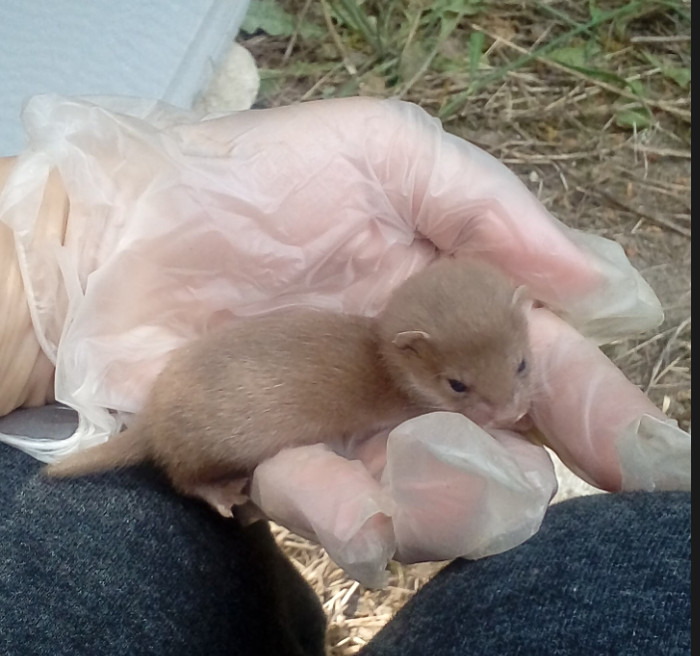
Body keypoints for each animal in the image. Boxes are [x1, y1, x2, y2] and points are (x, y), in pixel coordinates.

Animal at [47, 258, 532, 516]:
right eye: (457, 384)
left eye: (522, 363)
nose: (511, 412)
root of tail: (153, 417)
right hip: (203, 450)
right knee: (183, 479)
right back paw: (224, 494)